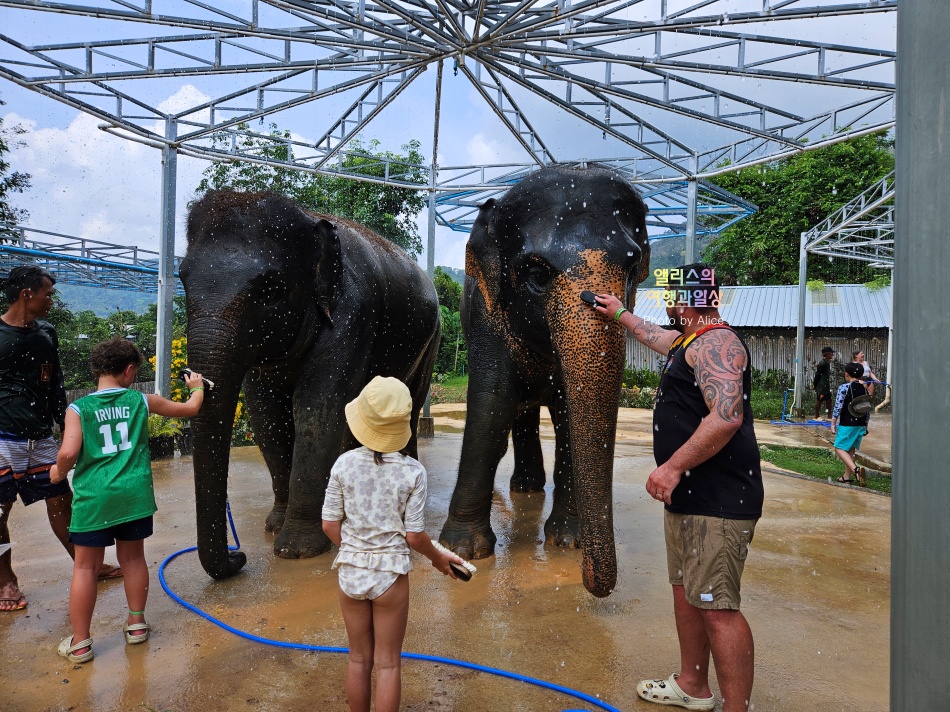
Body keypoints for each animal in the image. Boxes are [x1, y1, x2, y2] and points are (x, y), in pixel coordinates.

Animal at [180, 192, 440, 580]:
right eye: (181, 278)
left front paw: (297, 550)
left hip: (430, 342)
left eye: (270, 289)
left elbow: (317, 407)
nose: (238, 557)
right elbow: (265, 414)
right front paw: (274, 525)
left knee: (408, 405)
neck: (307, 219)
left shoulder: (352, 314)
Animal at [440, 164, 652, 596]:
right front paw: (464, 552)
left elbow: (569, 410)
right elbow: (492, 402)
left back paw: (528, 488)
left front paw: (568, 542)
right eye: (537, 274)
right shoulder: (487, 317)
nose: (592, 584)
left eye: (631, 268)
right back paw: (523, 487)